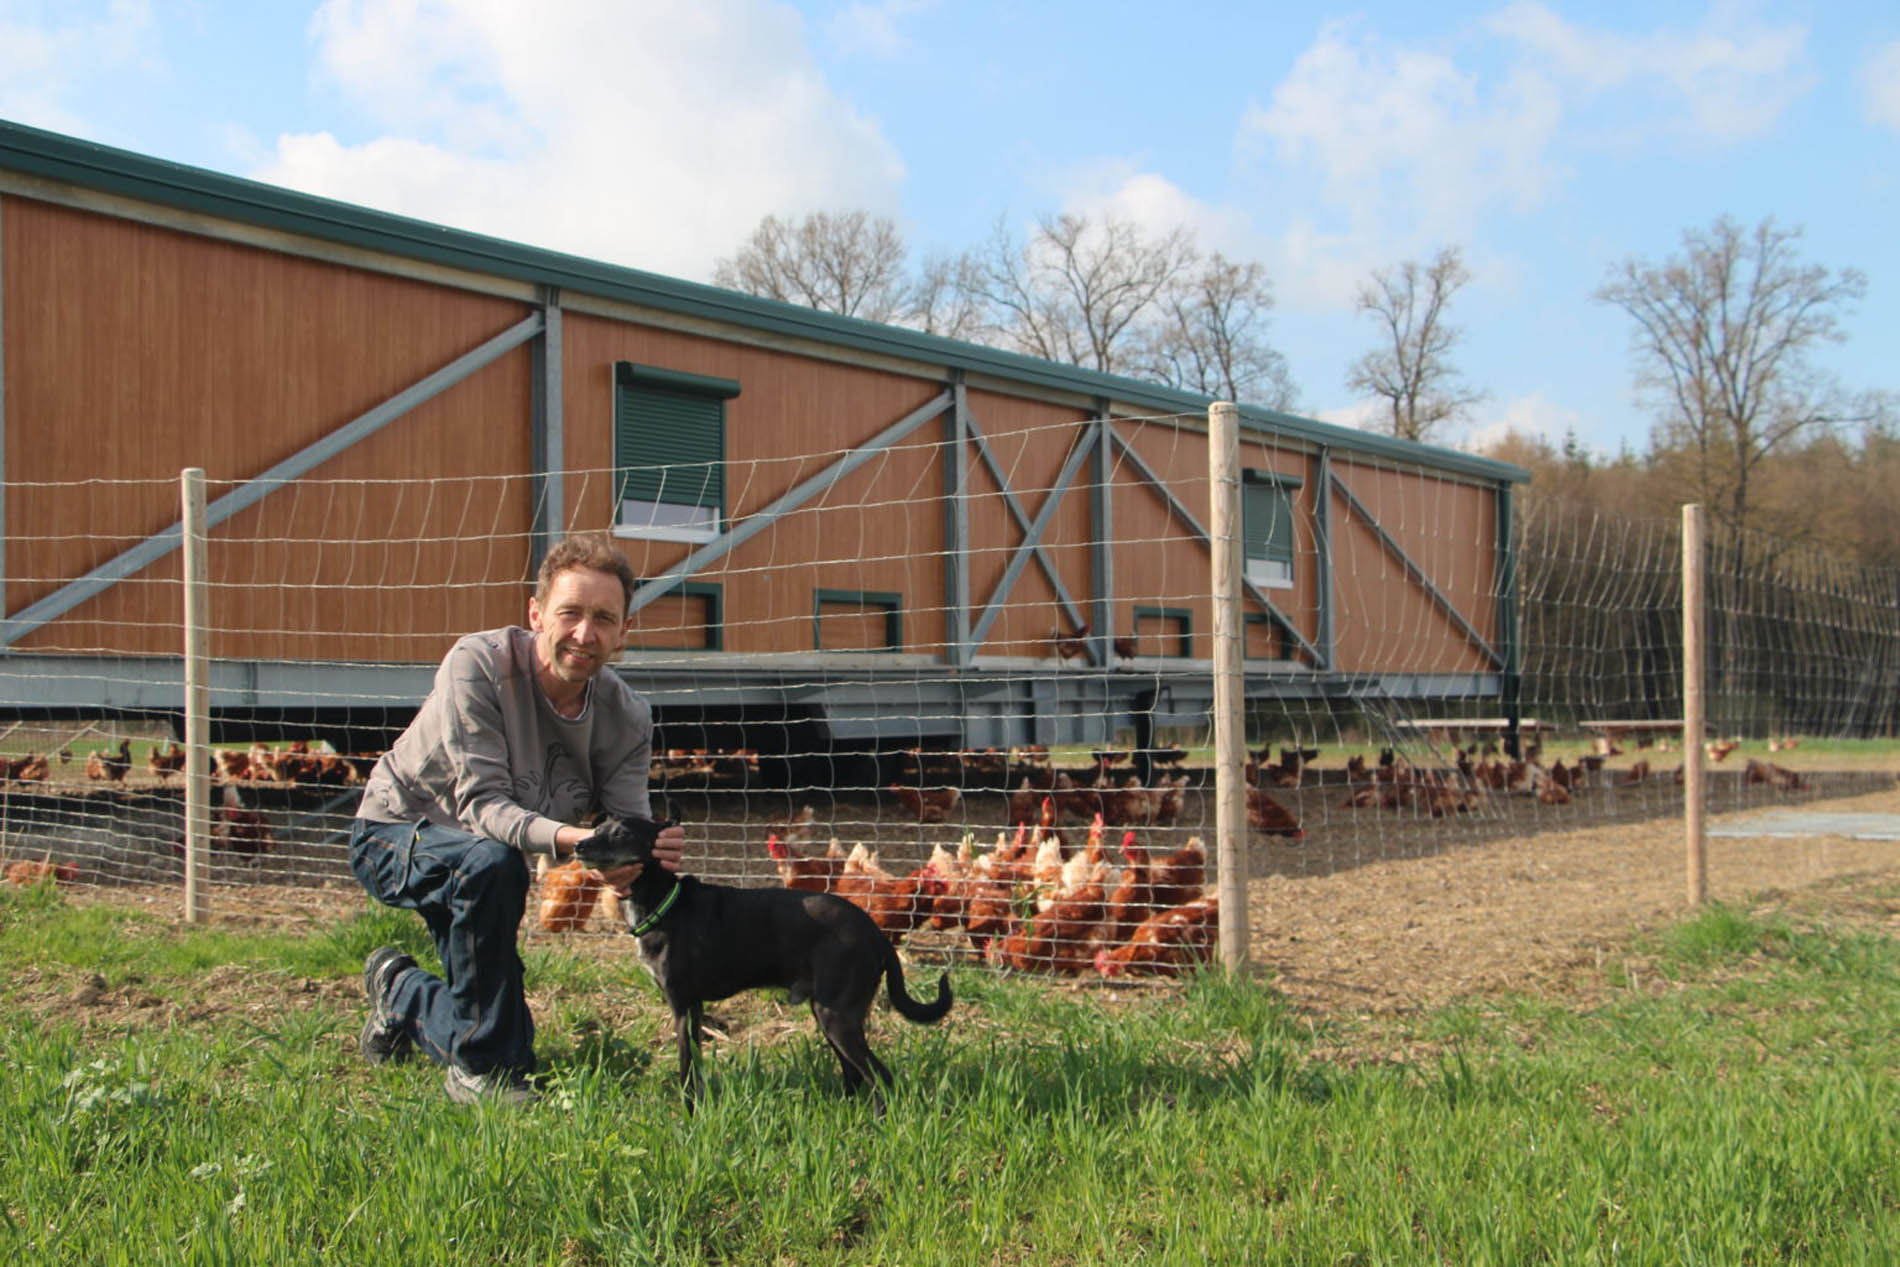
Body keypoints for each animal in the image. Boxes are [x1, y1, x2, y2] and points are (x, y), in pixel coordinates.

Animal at [573, 816, 950, 1101]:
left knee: (880, 1077)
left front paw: (689, 1115)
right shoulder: (694, 1008)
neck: (664, 901)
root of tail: (874, 932)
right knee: (855, 1076)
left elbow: (686, 1071)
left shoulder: (682, 1007)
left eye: (622, 832)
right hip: (831, 1014)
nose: (578, 845)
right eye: (597, 826)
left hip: (837, 1016)